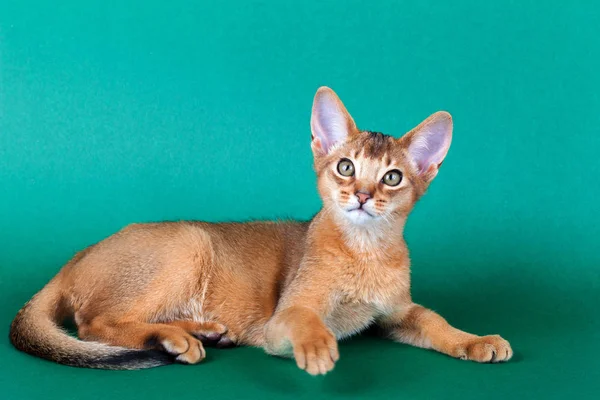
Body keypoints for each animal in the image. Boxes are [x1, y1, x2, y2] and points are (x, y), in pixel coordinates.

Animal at [9, 86, 510, 376]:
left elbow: (433, 320)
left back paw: (205, 331)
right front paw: (316, 345)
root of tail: (73, 259)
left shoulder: (394, 312)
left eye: (392, 177)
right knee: (94, 324)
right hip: (189, 242)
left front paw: (475, 340)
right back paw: (174, 340)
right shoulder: (284, 316)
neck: (365, 253)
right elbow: (305, 318)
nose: (364, 196)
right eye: (346, 167)